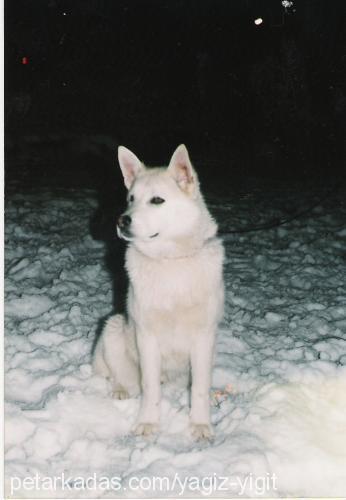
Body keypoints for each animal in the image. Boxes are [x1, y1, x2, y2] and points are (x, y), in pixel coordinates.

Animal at [93, 144, 226, 438]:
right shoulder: (147, 337)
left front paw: (200, 424)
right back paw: (121, 390)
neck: (170, 261)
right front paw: (148, 423)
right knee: (121, 376)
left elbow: (200, 388)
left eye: (157, 200)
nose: (121, 220)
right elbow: (151, 387)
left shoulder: (203, 337)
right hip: (114, 328)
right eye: (130, 198)